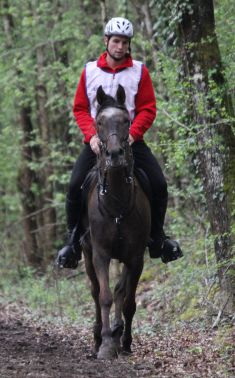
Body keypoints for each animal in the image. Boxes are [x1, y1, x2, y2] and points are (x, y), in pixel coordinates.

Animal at [81, 84, 151, 358]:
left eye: (126, 121)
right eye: (99, 122)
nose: (114, 154)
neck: (117, 203)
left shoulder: (135, 256)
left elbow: (128, 300)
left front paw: (125, 340)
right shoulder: (100, 254)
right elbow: (105, 296)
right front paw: (107, 345)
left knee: (121, 291)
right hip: (87, 253)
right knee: (94, 291)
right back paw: (97, 337)